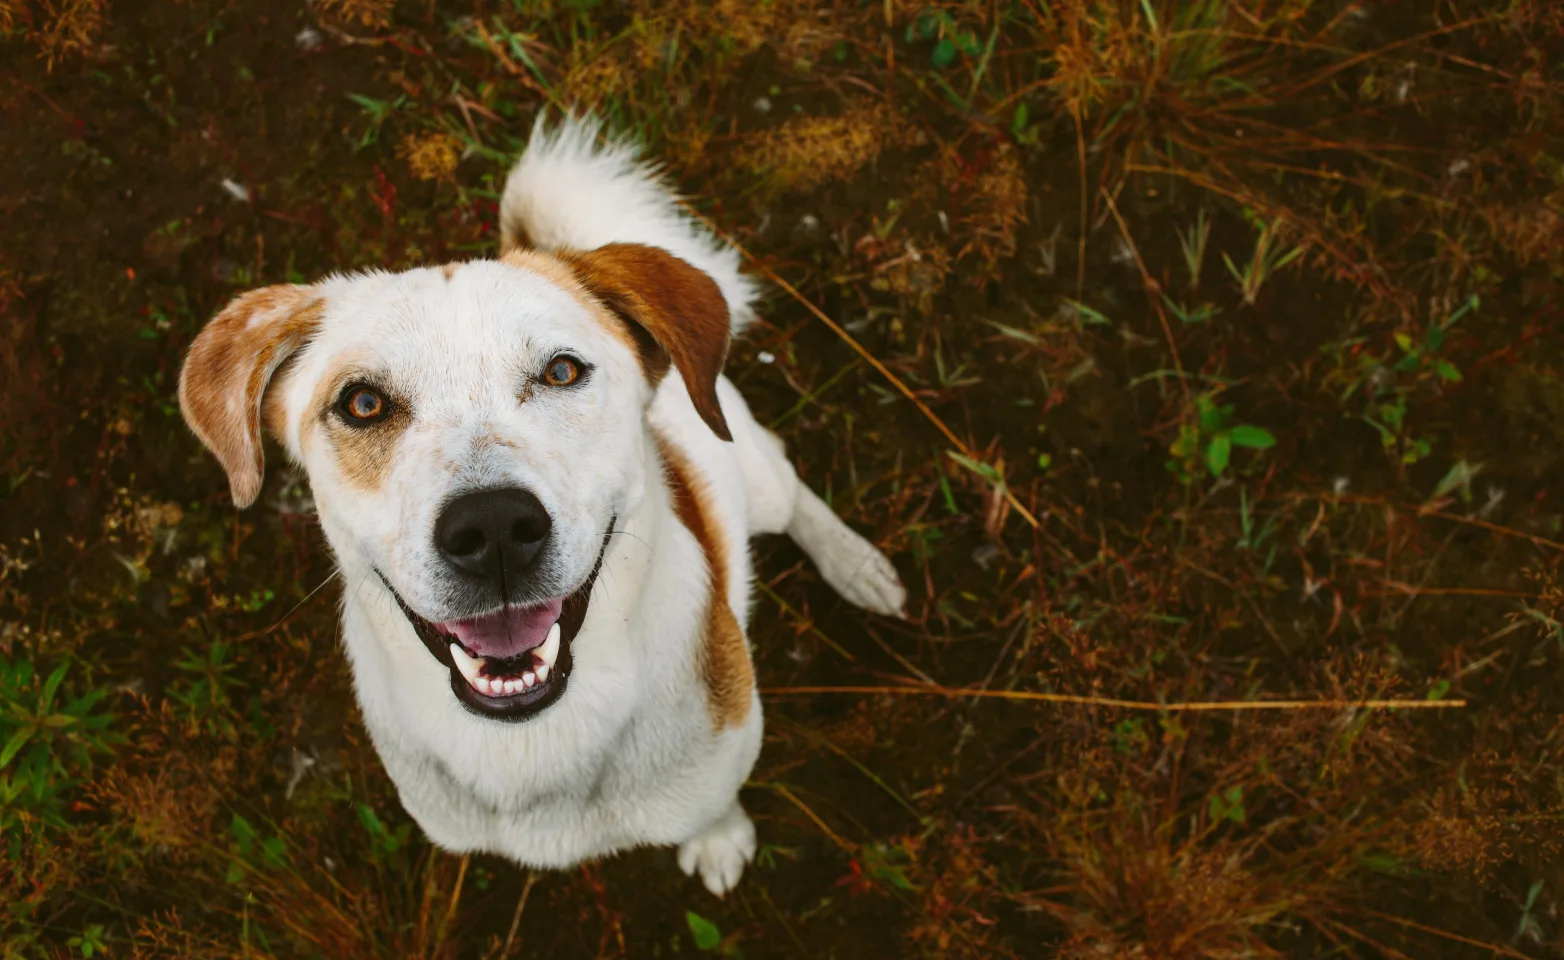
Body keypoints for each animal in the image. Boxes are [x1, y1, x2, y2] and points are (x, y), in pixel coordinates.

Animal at [174, 116, 907, 900]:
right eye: (362, 403)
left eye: (561, 370)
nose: (494, 529)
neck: (535, 739)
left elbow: (713, 806)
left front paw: (718, 839)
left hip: (754, 472)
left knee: (789, 480)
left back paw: (858, 566)